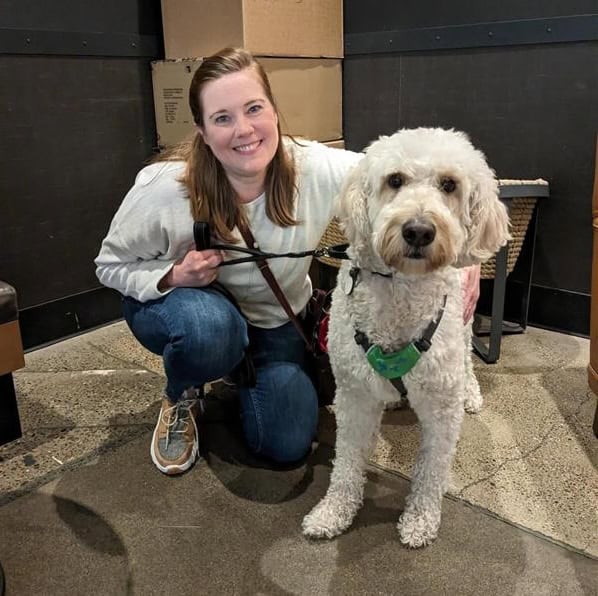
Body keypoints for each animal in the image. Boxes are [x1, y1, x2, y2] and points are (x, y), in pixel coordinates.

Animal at [304, 128, 510, 548]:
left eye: (449, 185)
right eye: (395, 180)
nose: (418, 230)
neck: (400, 289)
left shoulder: (441, 408)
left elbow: (432, 469)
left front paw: (421, 519)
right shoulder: (354, 396)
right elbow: (347, 461)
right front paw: (334, 511)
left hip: (465, 319)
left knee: (468, 356)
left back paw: (471, 392)